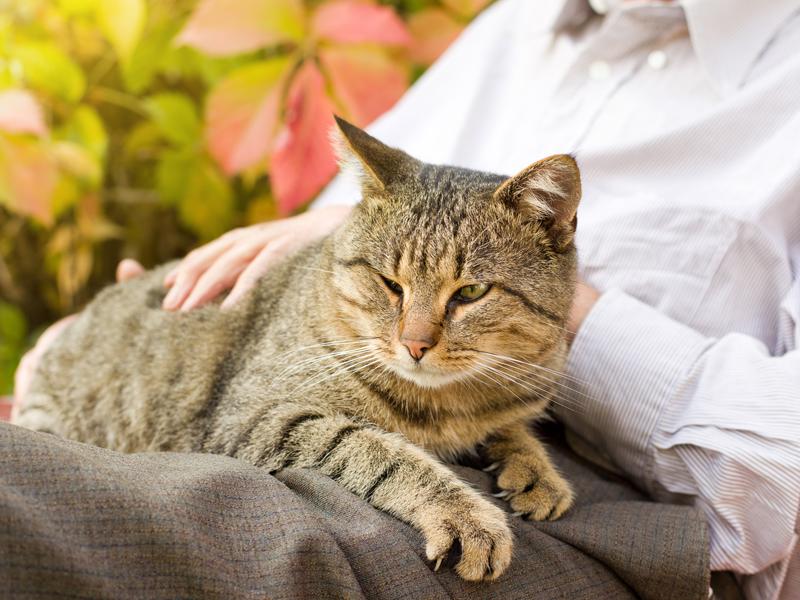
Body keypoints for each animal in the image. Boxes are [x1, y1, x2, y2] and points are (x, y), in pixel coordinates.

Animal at [14, 117, 580, 580]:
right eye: (390, 284)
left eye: (471, 292)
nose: (414, 344)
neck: (450, 404)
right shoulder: (257, 416)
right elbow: (380, 451)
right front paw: (466, 514)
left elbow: (514, 428)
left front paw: (535, 470)